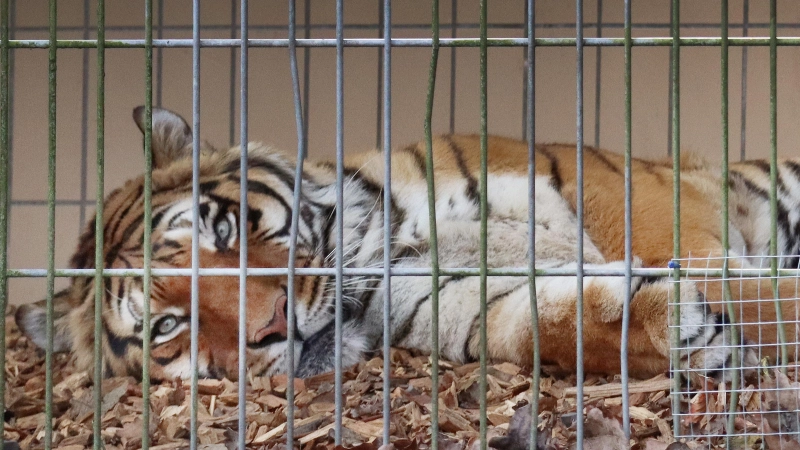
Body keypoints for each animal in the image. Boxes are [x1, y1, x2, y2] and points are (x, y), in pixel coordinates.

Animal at [18, 105, 800, 382]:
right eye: (166, 327)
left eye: (223, 231)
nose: (270, 328)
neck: (384, 253)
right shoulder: (455, 300)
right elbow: (537, 325)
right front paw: (667, 325)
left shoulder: (626, 195)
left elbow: (747, 287)